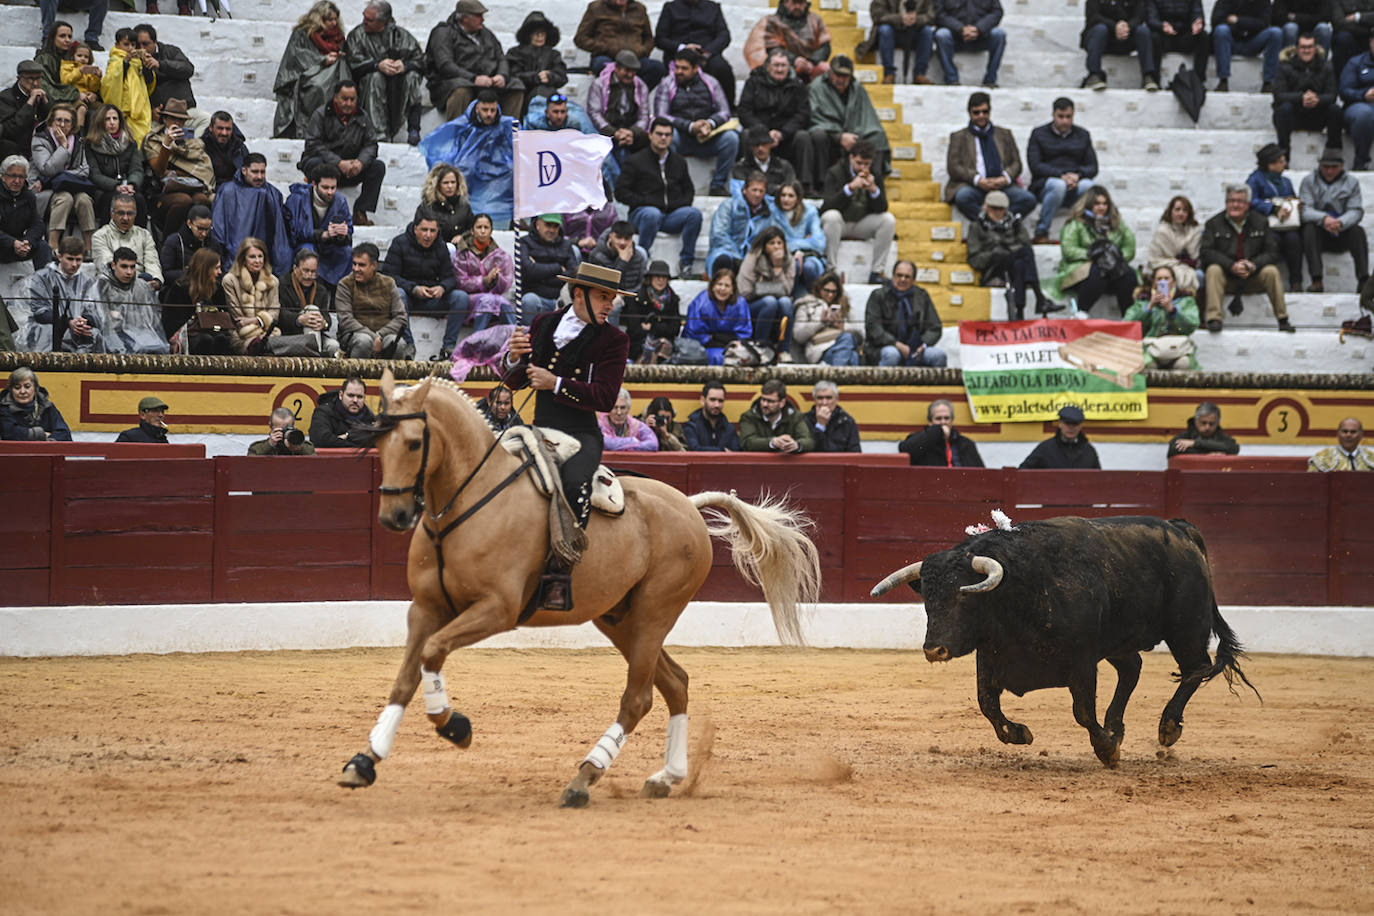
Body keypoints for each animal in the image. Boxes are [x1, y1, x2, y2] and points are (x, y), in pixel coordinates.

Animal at [338, 368, 818, 807]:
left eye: (414, 443)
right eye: (378, 442)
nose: (395, 516)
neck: (467, 501)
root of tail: (687, 503)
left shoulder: (497, 609)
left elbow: (433, 652)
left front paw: (455, 726)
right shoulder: (424, 608)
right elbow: (406, 676)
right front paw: (364, 762)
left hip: (654, 612)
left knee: (638, 698)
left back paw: (585, 777)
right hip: (618, 617)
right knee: (675, 683)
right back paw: (665, 777)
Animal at [873, 516, 1258, 769]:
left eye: (964, 596)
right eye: (927, 598)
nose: (934, 650)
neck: (1022, 586)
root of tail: (1180, 529)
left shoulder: (1082, 662)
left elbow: (1082, 711)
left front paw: (1106, 748)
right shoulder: (991, 655)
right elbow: (987, 705)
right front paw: (1021, 734)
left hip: (1186, 628)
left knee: (1196, 668)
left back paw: (1167, 727)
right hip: (1121, 641)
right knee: (1133, 669)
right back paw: (1118, 725)